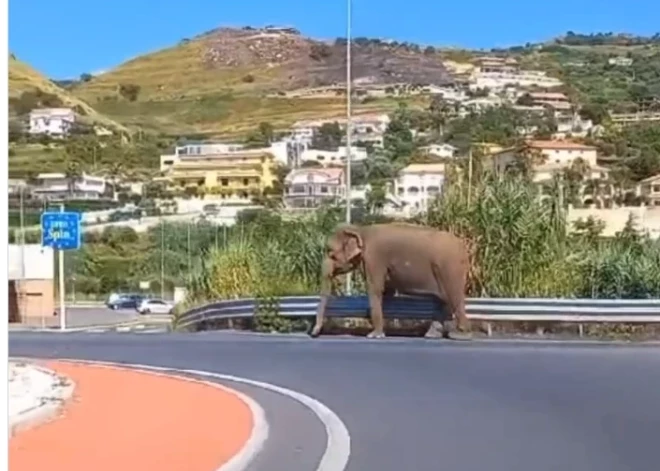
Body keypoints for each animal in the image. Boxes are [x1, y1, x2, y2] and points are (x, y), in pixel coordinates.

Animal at [310, 223, 472, 342]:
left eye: (331, 253)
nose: (314, 333)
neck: (361, 230)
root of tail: (464, 247)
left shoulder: (374, 258)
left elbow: (375, 289)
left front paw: (374, 335)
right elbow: (386, 293)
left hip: (450, 268)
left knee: (454, 298)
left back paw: (460, 335)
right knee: (442, 300)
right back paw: (432, 336)